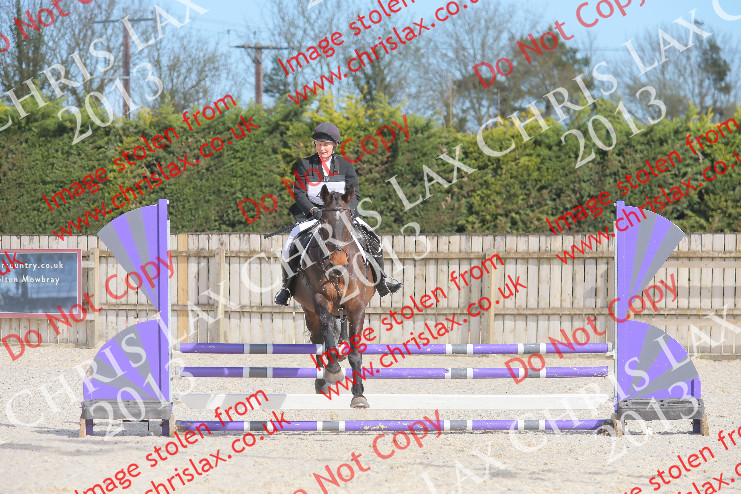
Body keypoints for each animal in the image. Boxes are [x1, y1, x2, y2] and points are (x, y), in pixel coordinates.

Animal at [291, 184, 376, 408]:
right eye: (324, 225)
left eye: (348, 224)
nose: (337, 262)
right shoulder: (321, 302)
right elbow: (327, 333)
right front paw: (334, 371)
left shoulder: (356, 306)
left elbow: (355, 353)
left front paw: (359, 395)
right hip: (309, 312)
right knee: (318, 341)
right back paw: (322, 380)